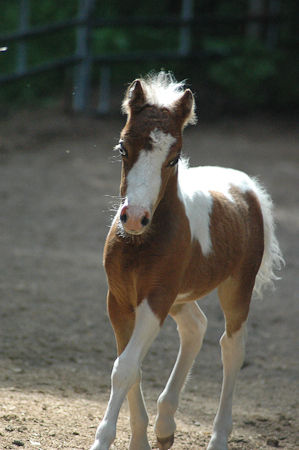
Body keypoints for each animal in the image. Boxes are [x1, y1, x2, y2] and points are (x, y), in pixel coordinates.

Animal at [90, 72, 284, 448]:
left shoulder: (155, 299)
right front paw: (140, 439)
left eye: (174, 157)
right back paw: (166, 424)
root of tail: (249, 188)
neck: (141, 243)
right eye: (122, 148)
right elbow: (130, 366)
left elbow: (125, 368)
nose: (134, 218)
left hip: (235, 286)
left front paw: (102, 440)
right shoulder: (118, 299)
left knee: (232, 347)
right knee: (196, 326)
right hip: (179, 296)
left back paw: (218, 437)